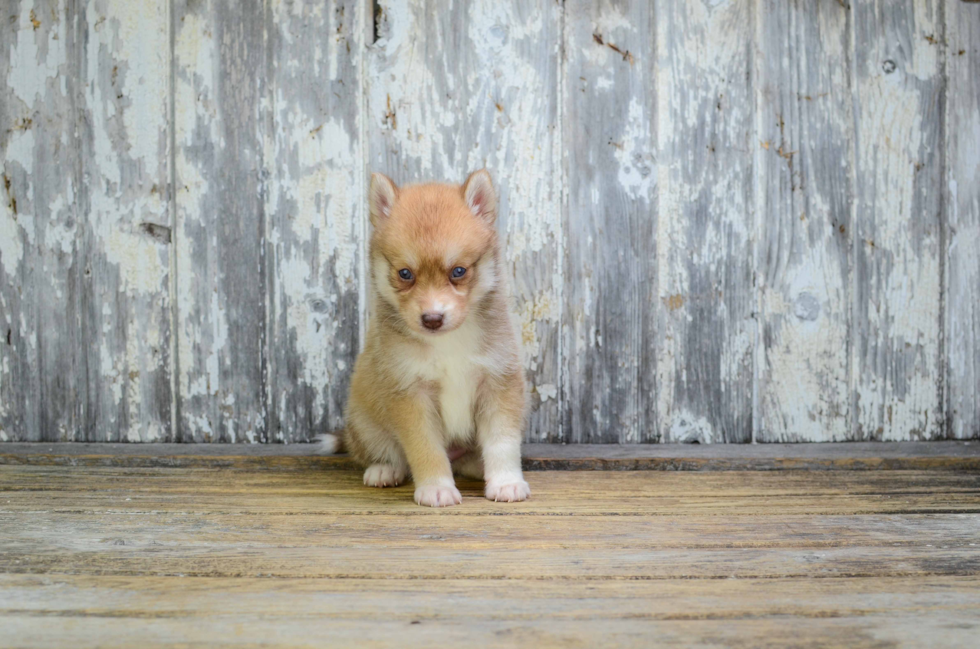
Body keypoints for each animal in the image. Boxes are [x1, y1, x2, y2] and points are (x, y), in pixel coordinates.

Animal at [316, 170, 532, 508]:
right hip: (365, 422)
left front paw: (506, 482)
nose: (432, 318)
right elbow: (425, 449)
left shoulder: (499, 383)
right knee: (383, 453)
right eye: (405, 274)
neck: (449, 343)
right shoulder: (411, 394)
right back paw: (383, 469)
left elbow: (502, 443)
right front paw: (436, 488)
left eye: (458, 271)